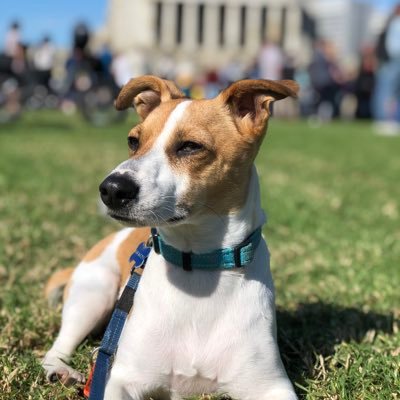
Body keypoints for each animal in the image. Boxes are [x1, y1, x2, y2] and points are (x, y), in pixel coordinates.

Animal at [43, 76, 300, 400]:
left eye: (190, 146)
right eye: (133, 141)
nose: (112, 188)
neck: (198, 265)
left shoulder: (270, 385)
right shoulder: (121, 379)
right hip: (93, 294)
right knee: (59, 344)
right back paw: (60, 370)